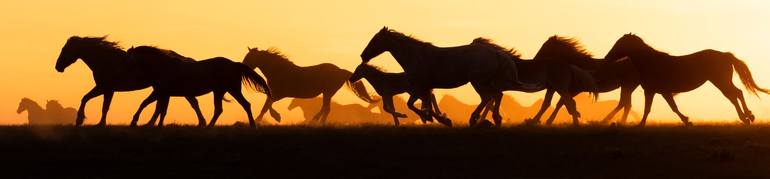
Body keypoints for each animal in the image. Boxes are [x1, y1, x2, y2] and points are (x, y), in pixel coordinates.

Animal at [55, 35, 202, 126]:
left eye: (64, 49)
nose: (57, 67)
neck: (106, 60)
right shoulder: (104, 88)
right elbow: (87, 99)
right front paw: (83, 120)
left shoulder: (106, 88)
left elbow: (102, 106)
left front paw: (90, 122)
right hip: (161, 89)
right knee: (165, 105)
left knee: (191, 103)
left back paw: (202, 122)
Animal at [126, 45, 270, 128]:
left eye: (130, 59)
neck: (164, 66)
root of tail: (235, 64)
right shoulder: (163, 93)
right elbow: (155, 108)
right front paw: (142, 123)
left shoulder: (162, 92)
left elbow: (156, 108)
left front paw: (136, 122)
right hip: (220, 91)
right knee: (221, 109)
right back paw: (209, 127)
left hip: (232, 90)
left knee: (243, 105)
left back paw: (252, 126)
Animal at [240, 46, 378, 124]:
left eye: (249, 57)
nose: (242, 67)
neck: (279, 71)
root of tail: (340, 70)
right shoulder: (275, 94)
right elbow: (266, 106)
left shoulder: (278, 94)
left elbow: (266, 107)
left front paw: (273, 118)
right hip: (328, 93)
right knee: (325, 108)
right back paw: (316, 121)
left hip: (328, 92)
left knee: (326, 109)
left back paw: (317, 122)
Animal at [356, 26, 536, 127]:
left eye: (375, 40)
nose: (363, 55)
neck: (416, 56)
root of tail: (496, 52)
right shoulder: (424, 87)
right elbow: (421, 105)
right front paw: (435, 118)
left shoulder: (420, 86)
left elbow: (417, 105)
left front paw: (439, 119)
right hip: (484, 82)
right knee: (496, 95)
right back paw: (494, 119)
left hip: (478, 81)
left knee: (490, 97)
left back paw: (477, 119)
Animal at [604, 33, 764, 126]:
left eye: (620, 44)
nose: (606, 58)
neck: (651, 63)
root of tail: (725, 55)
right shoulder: (658, 91)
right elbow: (668, 107)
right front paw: (687, 120)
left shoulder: (654, 91)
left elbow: (654, 108)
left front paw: (641, 125)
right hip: (721, 82)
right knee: (735, 94)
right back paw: (748, 117)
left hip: (720, 81)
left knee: (735, 94)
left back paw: (747, 117)